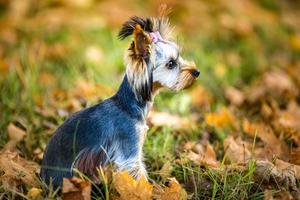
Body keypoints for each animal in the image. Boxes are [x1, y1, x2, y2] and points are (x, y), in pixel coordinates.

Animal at [39, 15, 199, 188]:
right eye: (171, 64)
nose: (196, 72)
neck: (128, 106)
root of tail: (43, 179)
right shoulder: (129, 149)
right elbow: (139, 176)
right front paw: (150, 190)